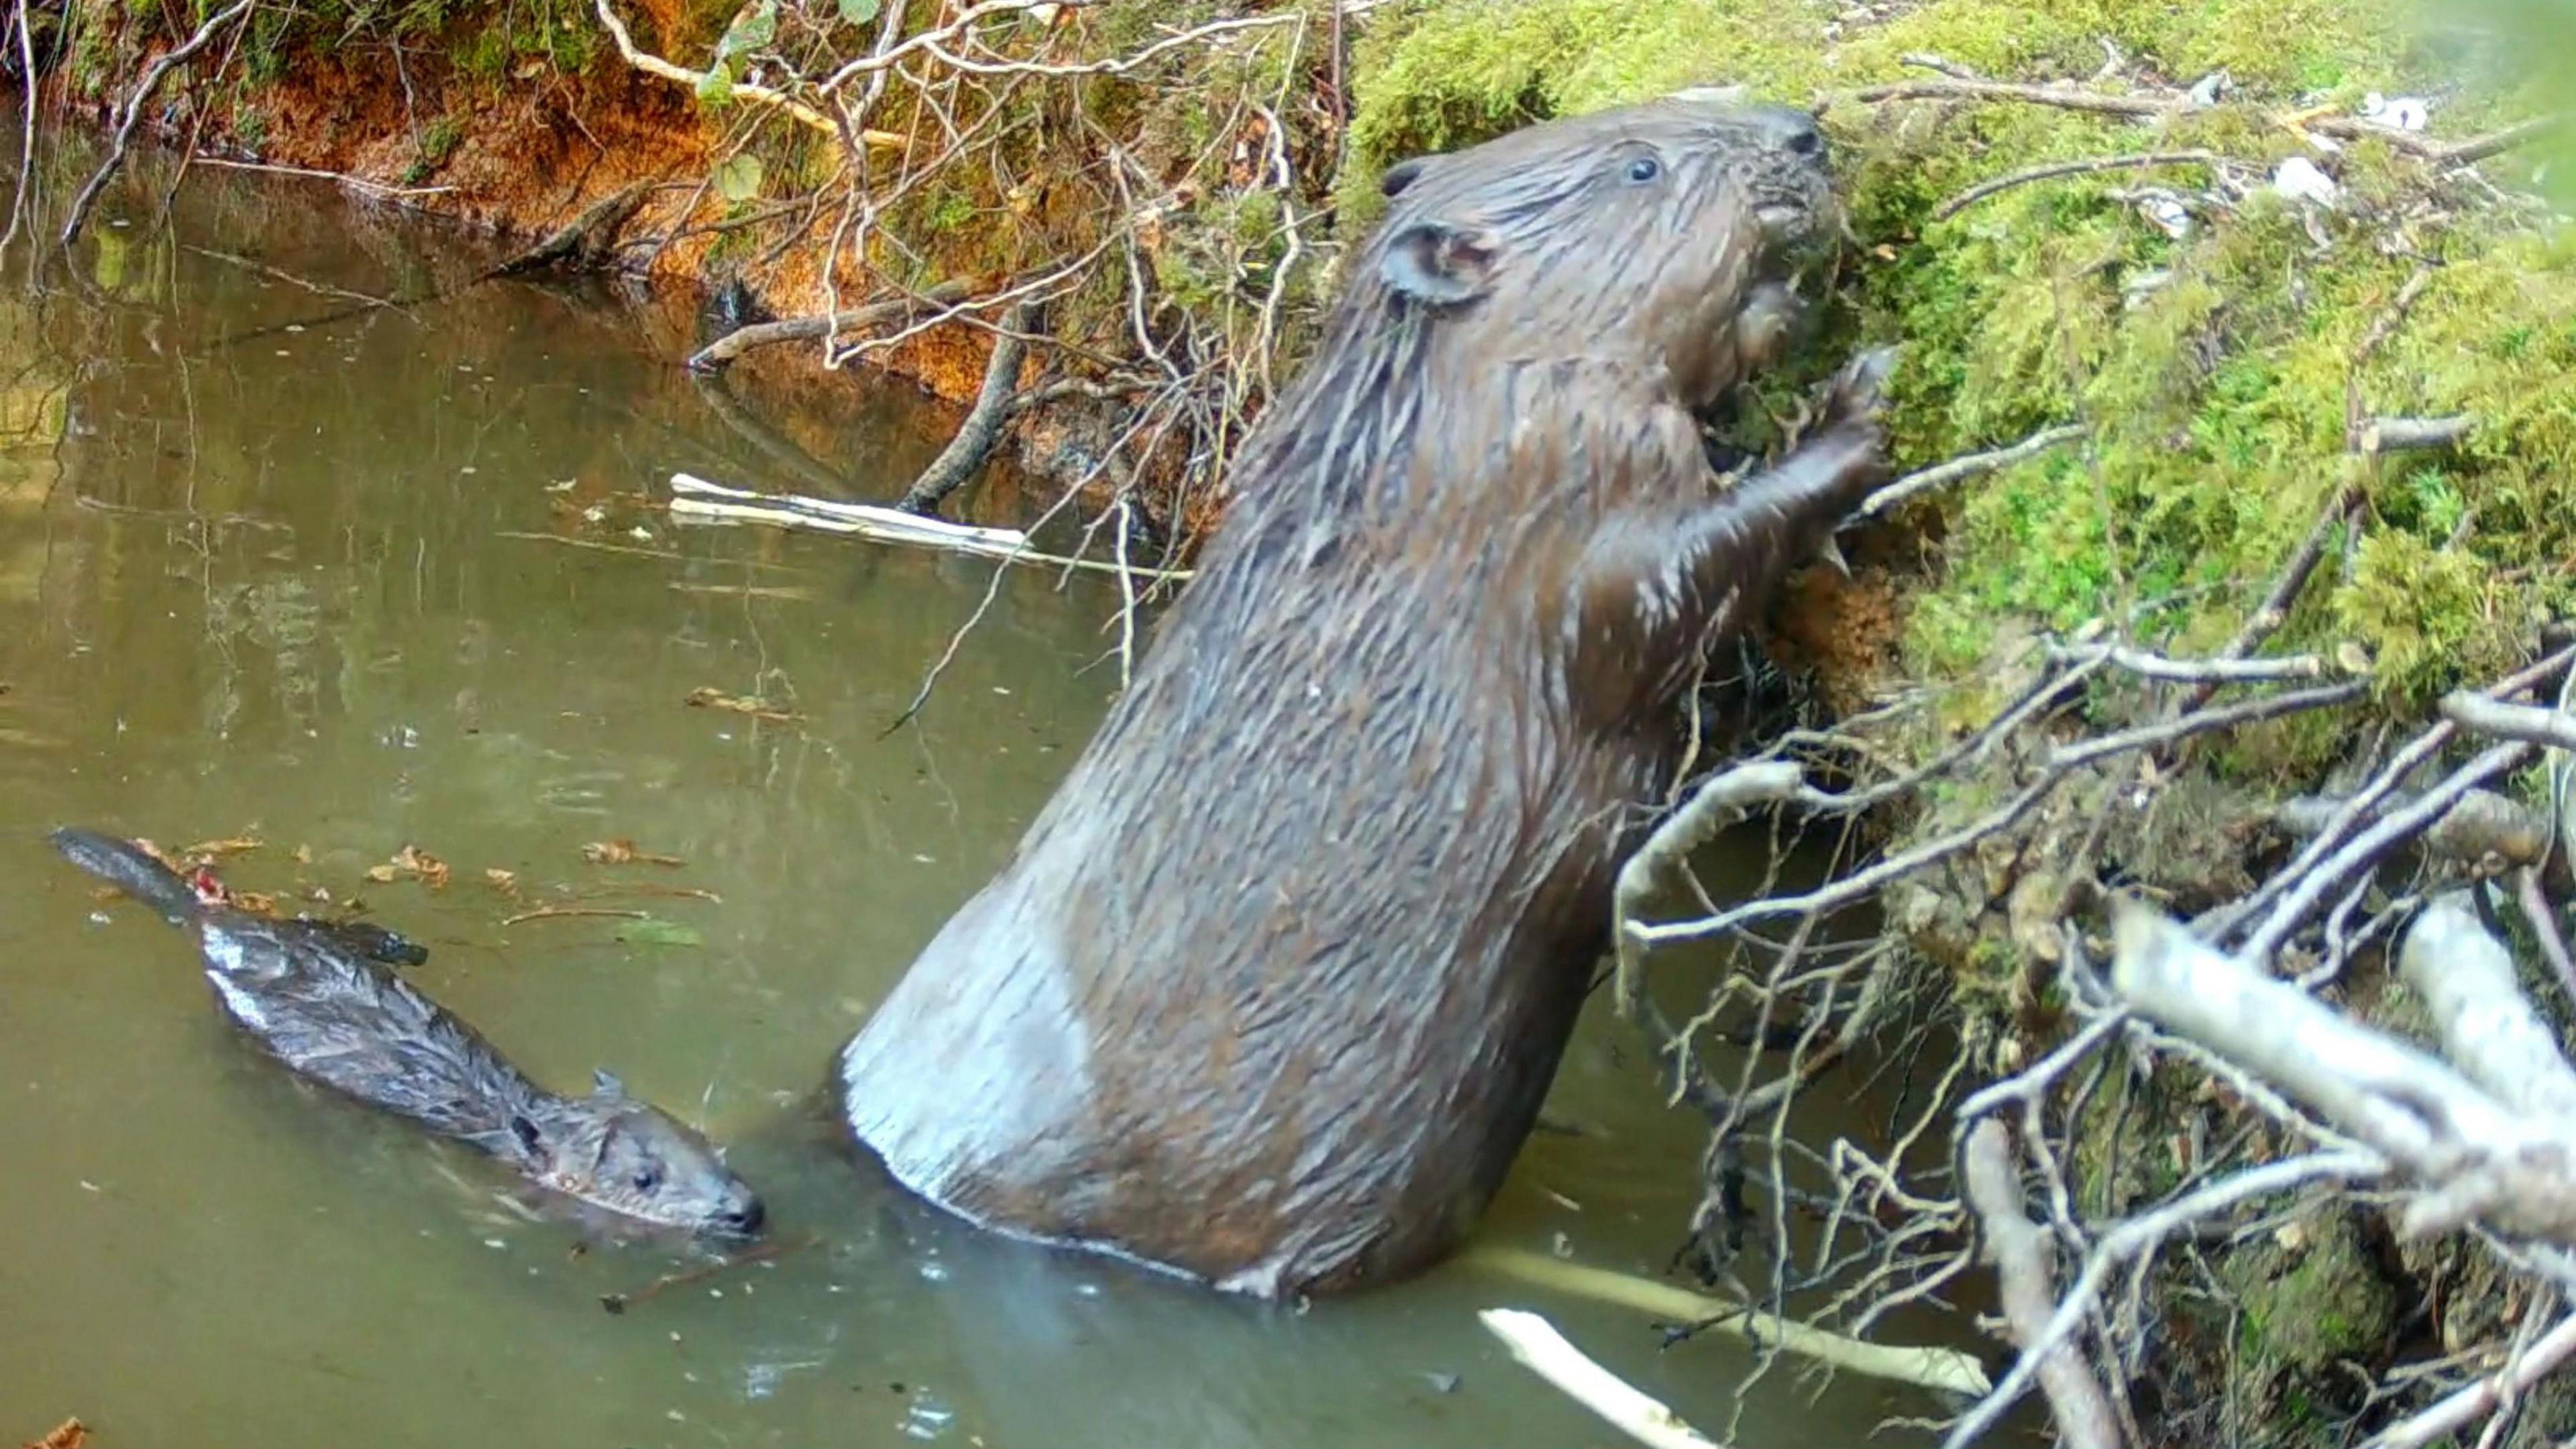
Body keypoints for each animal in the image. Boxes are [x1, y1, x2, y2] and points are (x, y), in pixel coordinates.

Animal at [52, 824, 762, 1242]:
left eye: (707, 1146)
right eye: (644, 1180)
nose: (745, 1212)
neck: (511, 1109)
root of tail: (210, 918)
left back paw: (404, 945)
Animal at [839, 90, 1896, 1289]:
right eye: (1640, 166)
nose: (1804, 131)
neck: (1424, 424)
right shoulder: (1546, 493)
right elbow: (1668, 586)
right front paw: (1857, 403)